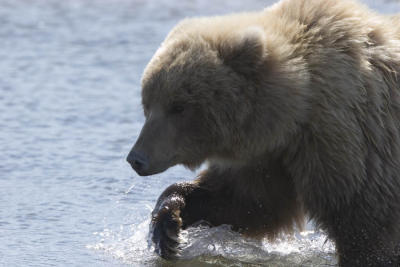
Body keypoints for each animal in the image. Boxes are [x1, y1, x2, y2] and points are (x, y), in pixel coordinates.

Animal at [126, 1, 400, 266]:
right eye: (147, 104)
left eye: (178, 106)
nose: (136, 158)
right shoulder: (269, 156)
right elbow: (247, 203)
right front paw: (167, 226)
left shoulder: (350, 141)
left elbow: (364, 226)